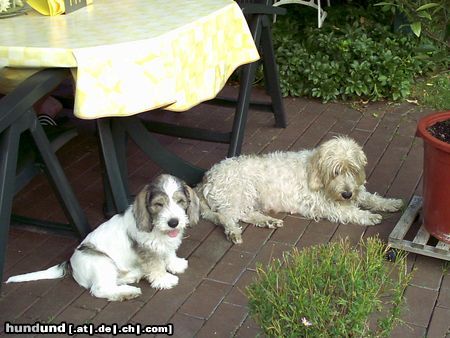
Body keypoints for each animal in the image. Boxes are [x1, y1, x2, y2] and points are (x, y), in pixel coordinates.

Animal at [6, 174, 200, 302]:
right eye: (159, 204)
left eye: (180, 201)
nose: (173, 222)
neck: (157, 229)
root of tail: (70, 263)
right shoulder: (148, 250)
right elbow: (156, 265)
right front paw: (164, 280)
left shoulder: (165, 244)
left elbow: (168, 252)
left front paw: (175, 264)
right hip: (103, 263)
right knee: (99, 289)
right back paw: (127, 292)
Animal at [197, 136, 404, 244]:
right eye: (335, 172)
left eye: (352, 170)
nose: (347, 194)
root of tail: (208, 176)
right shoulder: (326, 206)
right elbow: (350, 212)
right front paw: (369, 216)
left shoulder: (356, 192)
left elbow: (372, 198)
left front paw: (391, 203)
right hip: (239, 193)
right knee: (227, 216)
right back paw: (234, 232)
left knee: (243, 214)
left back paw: (267, 221)